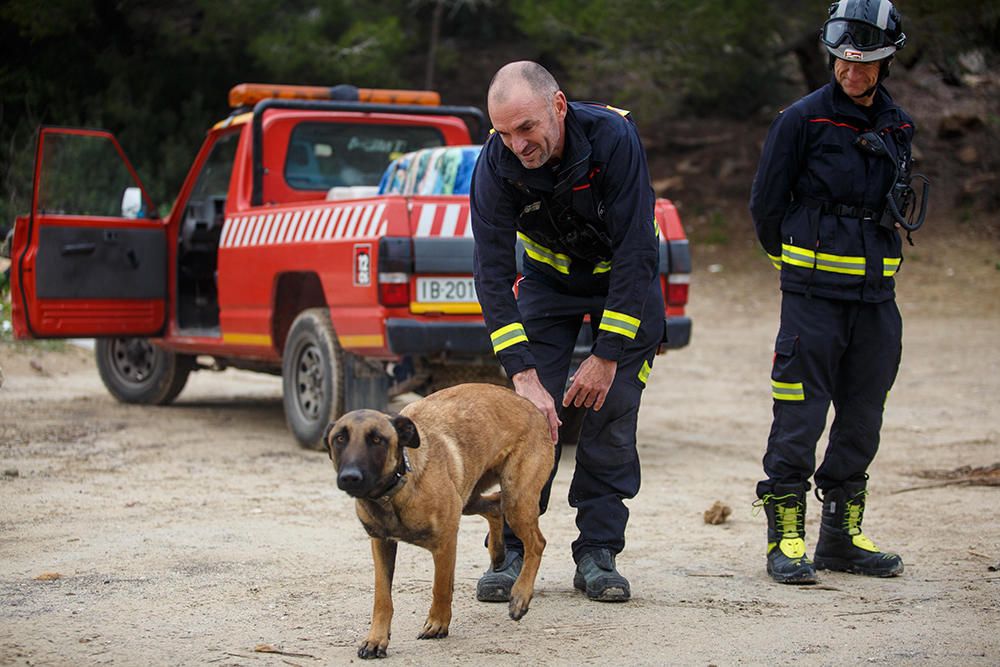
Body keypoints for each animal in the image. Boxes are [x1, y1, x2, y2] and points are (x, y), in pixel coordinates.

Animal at [324, 384, 552, 660]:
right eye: (339, 439)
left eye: (377, 440)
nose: (350, 477)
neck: (393, 494)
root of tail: (532, 407)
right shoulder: (381, 543)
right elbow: (382, 597)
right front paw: (376, 639)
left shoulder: (445, 541)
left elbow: (441, 587)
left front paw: (437, 624)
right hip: (471, 498)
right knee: (495, 506)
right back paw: (498, 553)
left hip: (516, 499)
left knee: (536, 543)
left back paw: (520, 595)